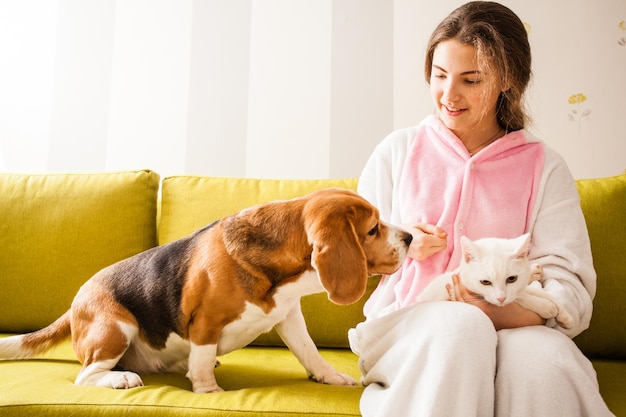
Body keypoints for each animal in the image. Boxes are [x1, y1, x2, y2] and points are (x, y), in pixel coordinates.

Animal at [0, 187, 412, 392]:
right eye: (373, 228)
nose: (409, 237)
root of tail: (75, 304)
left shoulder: (289, 316)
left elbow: (310, 352)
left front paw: (329, 376)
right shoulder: (205, 322)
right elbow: (200, 366)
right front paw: (209, 392)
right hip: (115, 327)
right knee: (85, 376)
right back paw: (119, 378)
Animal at [416, 234, 572, 328]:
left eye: (511, 279)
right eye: (485, 282)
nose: (501, 298)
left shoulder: (520, 288)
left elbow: (544, 294)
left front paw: (565, 316)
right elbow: (521, 299)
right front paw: (545, 307)